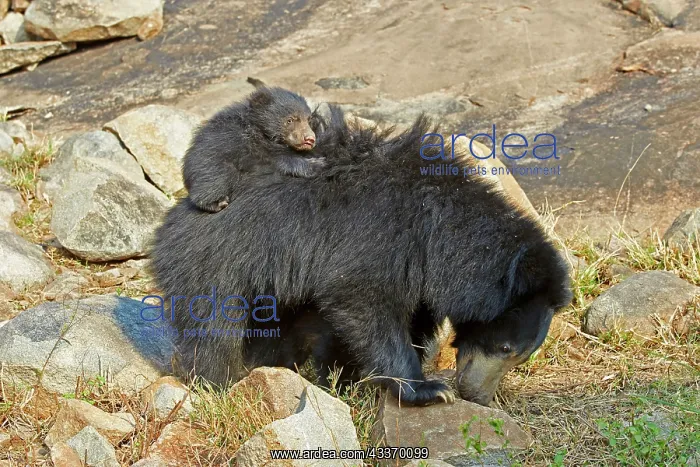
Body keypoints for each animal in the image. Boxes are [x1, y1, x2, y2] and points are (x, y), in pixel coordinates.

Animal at [150, 106, 572, 406]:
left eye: (519, 357)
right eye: (505, 348)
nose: (478, 396)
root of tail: (172, 219)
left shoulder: (418, 272)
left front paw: (347, 379)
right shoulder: (379, 239)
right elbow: (365, 305)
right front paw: (428, 390)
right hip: (217, 264)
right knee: (214, 329)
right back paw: (220, 383)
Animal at [182, 86, 327, 213]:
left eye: (308, 120)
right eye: (290, 120)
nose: (310, 139)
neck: (260, 130)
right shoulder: (250, 144)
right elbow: (278, 160)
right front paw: (317, 164)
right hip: (213, 166)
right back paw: (217, 202)